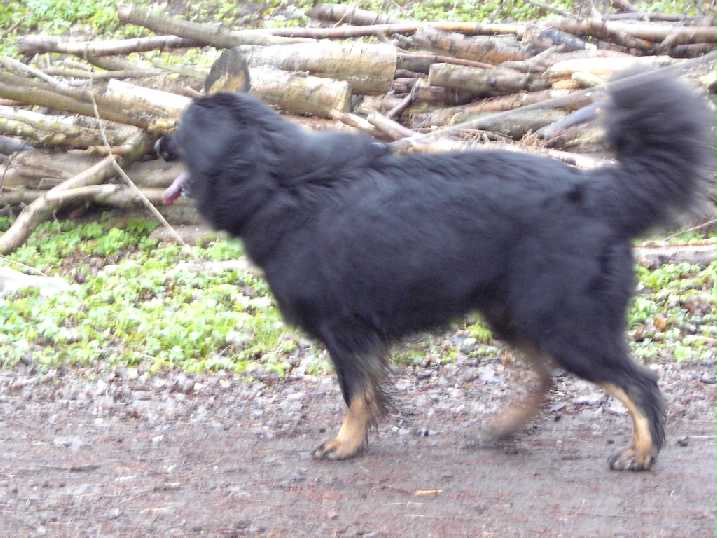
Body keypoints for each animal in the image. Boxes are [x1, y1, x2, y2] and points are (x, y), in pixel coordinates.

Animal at [158, 71, 710, 471]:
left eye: (181, 128)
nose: (159, 145)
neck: (278, 181)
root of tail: (596, 192)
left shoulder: (344, 331)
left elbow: (355, 394)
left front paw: (344, 444)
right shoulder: (358, 335)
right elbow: (369, 393)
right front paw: (359, 439)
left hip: (565, 322)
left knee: (639, 383)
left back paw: (641, 453)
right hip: (515, 316)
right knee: (546, 378)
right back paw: (508, 426)